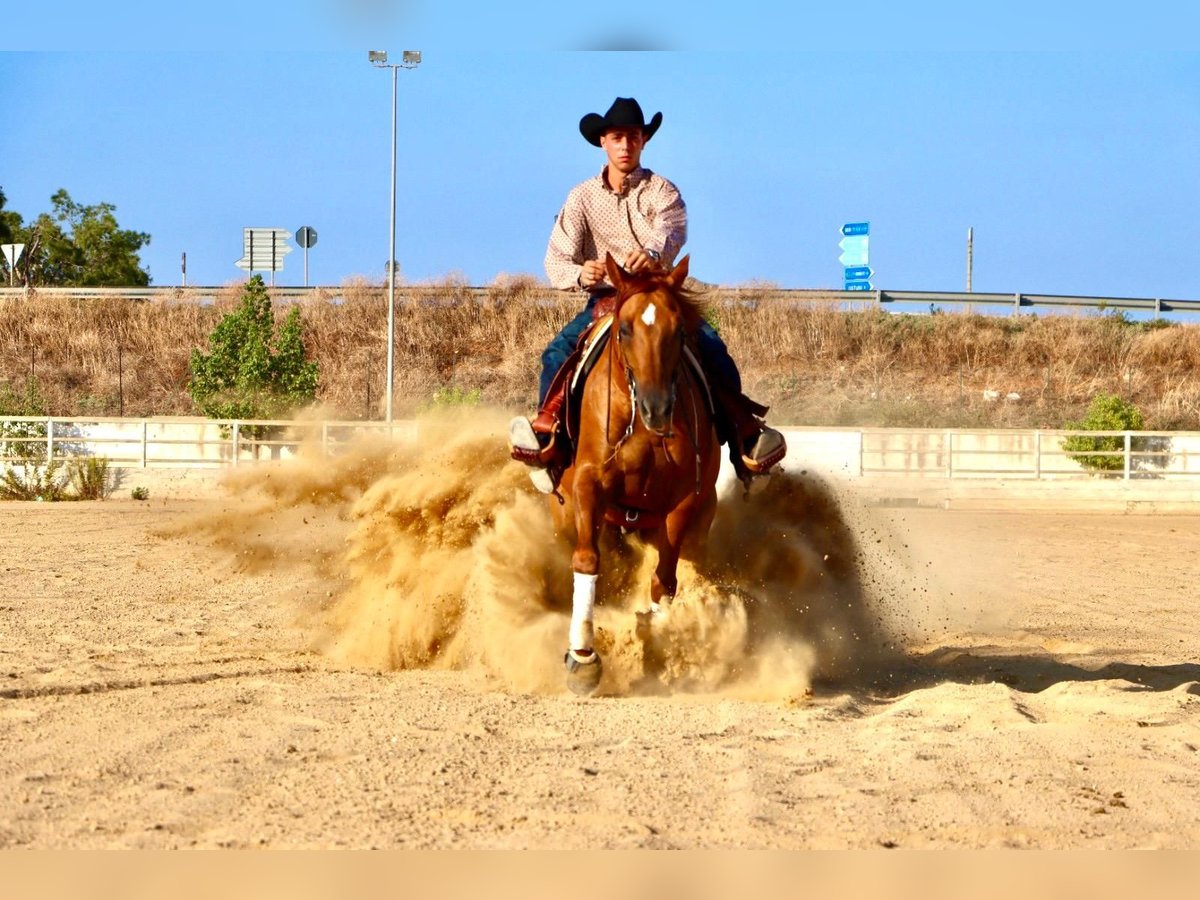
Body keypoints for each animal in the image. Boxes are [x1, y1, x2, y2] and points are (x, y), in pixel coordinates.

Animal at [554, 254, 720, 696]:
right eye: (625, 329)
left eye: (678, 330)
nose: (657, 408)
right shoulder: (588, 484)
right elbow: (587, 560)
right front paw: (583, 657)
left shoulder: (685, 501)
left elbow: (664, 579)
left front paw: (658, 651)